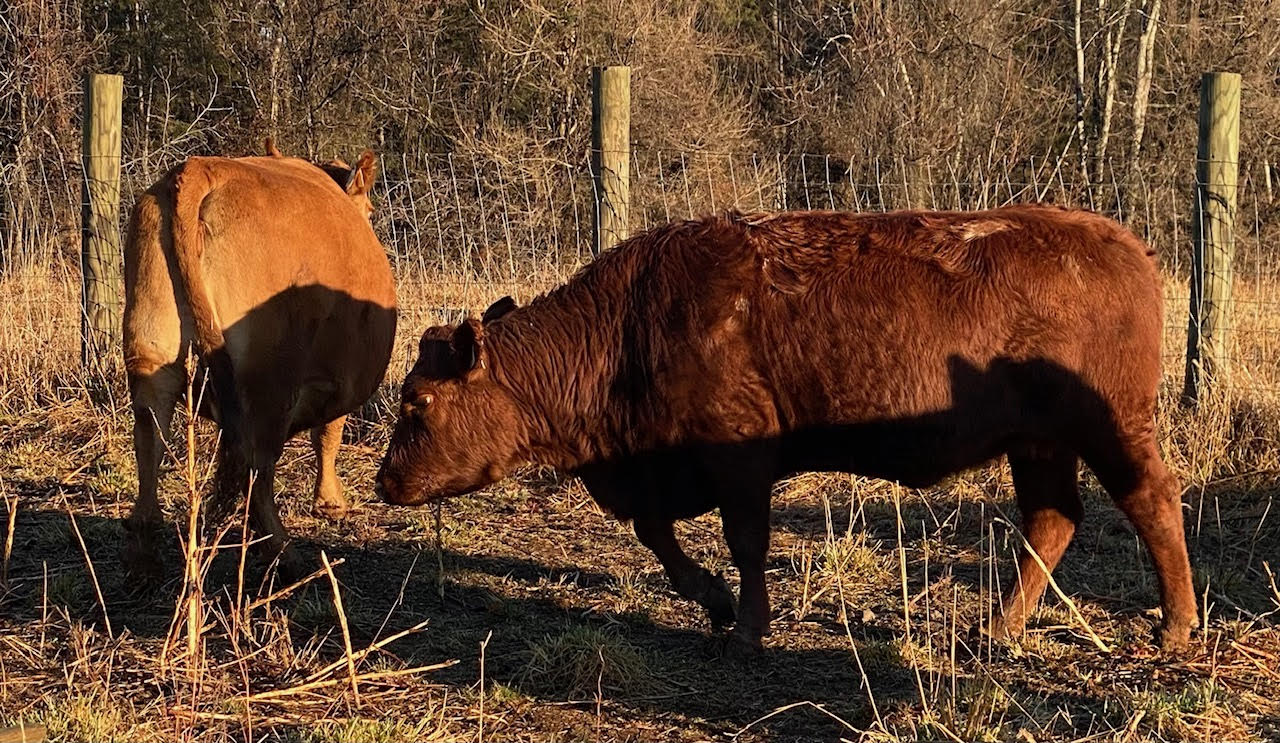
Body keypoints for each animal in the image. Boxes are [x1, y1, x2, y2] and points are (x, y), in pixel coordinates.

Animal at [122, 141, 397, 579]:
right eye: (370, 211)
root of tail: (199, 171)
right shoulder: (337, 376)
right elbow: (328, 435)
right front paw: (331, 503)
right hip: (271, 379)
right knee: (259, 468)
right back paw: (283, 552)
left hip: (151, 348)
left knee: (151, 436)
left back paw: (144, 550)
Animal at [375, 205, 1196, 653]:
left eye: (417, 400)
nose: (385, 481)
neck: (629, 324)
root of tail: (1128, 246)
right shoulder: (661, 472)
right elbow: (658, 532)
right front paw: (712, 602)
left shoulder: (739, 459)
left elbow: (743, 541)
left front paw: (745, 628)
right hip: (1038, 445)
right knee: (1052, 520)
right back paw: (995, 629)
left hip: (1112, 428)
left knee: (1152, 501)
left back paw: (1175, 627)